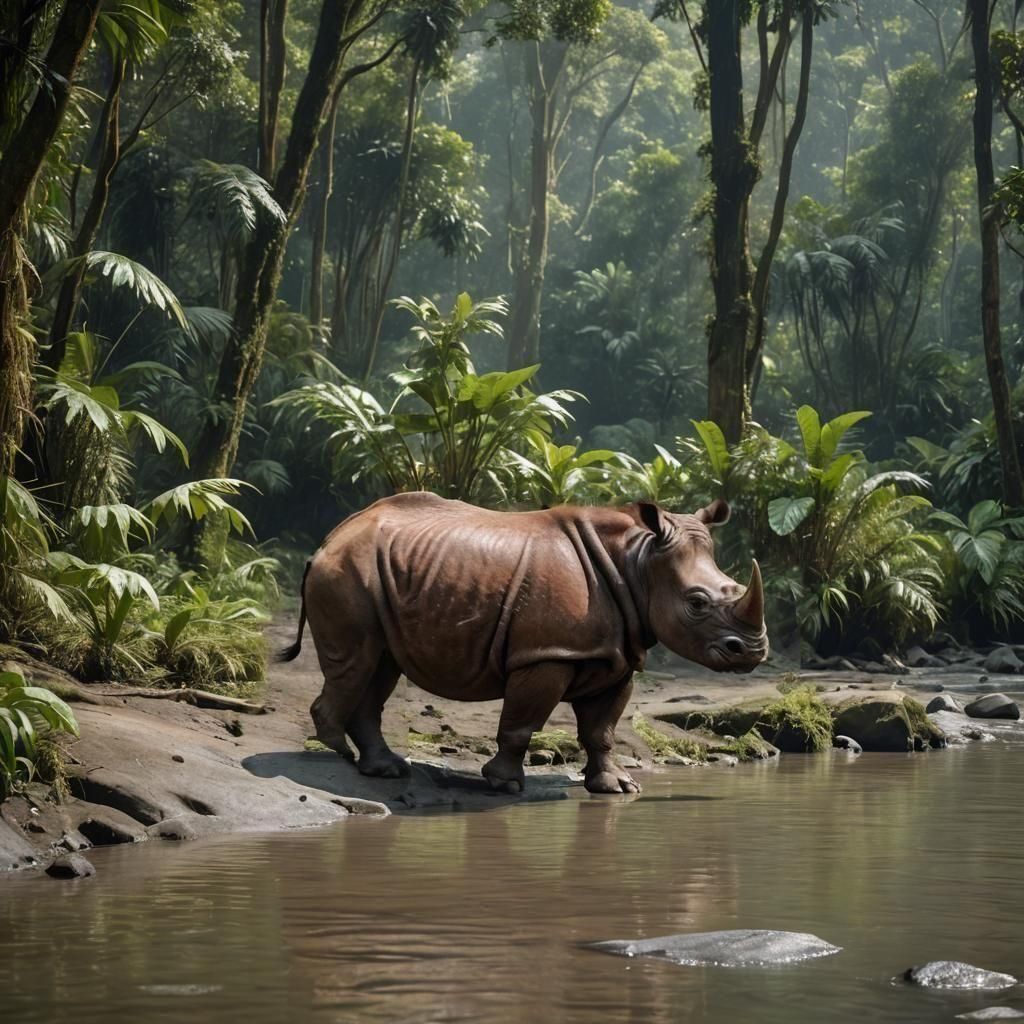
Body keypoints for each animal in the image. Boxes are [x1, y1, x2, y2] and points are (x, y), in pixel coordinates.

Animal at [280, 492, 767, 794]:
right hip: (349, 572)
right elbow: (522, 721)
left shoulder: (616, 655)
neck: (639, 561)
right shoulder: (546, 655)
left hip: (382, 574)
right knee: (357, 662)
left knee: (381, 666)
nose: (755, 652)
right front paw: (505, 784)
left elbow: (601, 729)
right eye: (697, 603)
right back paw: (339, 754)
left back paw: (385, 770)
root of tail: (329, 540)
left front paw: (618, 787)